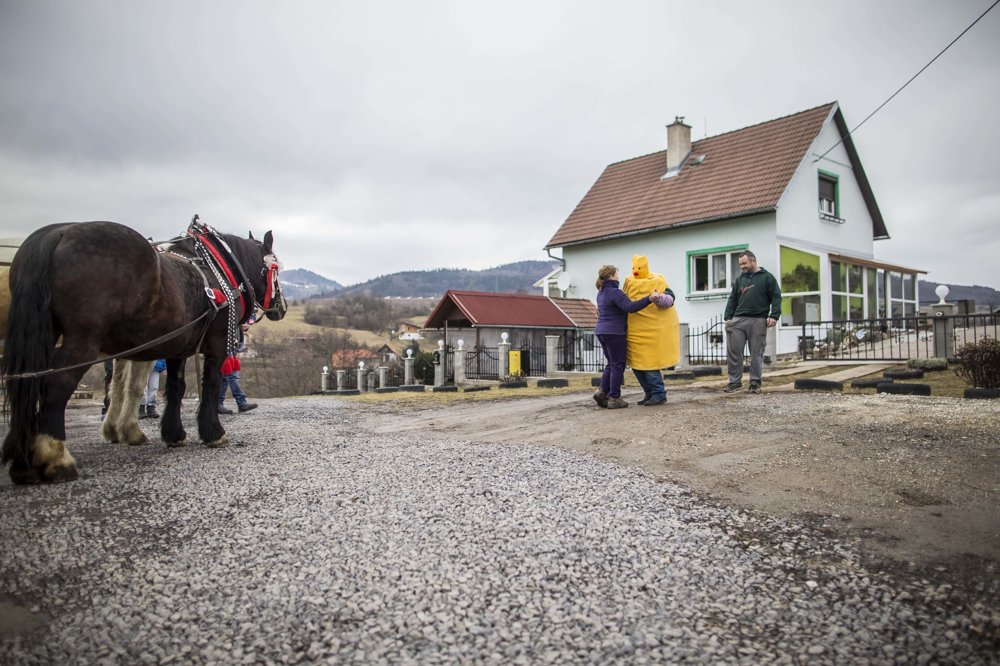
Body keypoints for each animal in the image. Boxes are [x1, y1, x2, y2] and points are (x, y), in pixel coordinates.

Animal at [2, 219, 286, 482]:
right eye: (276, 268)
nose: (281, 307)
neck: (218, 270)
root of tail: (56, 235)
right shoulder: (216, 343)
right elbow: (210, 384)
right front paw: (213, 433)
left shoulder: (177, 347)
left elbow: (175, 387)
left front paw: (173, 434)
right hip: (82, 340)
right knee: (55, 385)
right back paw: (56, 457)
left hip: (42, 335)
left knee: (26, 383)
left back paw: (22, 460)